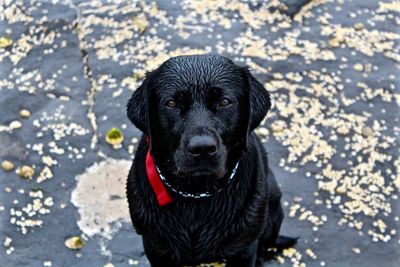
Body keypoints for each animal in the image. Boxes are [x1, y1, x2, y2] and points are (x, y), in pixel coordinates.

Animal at [126, 55, 296, 267]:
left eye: (224, 101)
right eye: (172, 103)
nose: (203, 148)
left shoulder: (244, 248)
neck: (197, 194)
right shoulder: (156, 247)